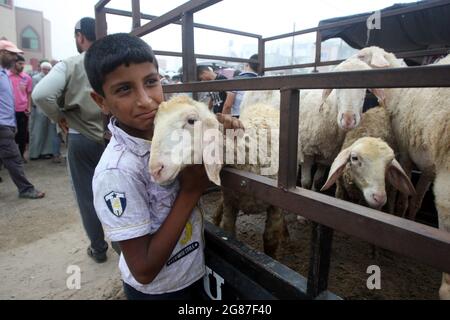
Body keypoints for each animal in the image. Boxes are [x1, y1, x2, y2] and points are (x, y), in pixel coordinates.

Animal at [148, 95, 288, 258]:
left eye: (191, 120)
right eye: (155, 124)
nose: (155, 170)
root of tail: (264, 106)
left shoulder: (277, 205)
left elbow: (271, 240)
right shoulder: (230, 202)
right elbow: (228, 230)